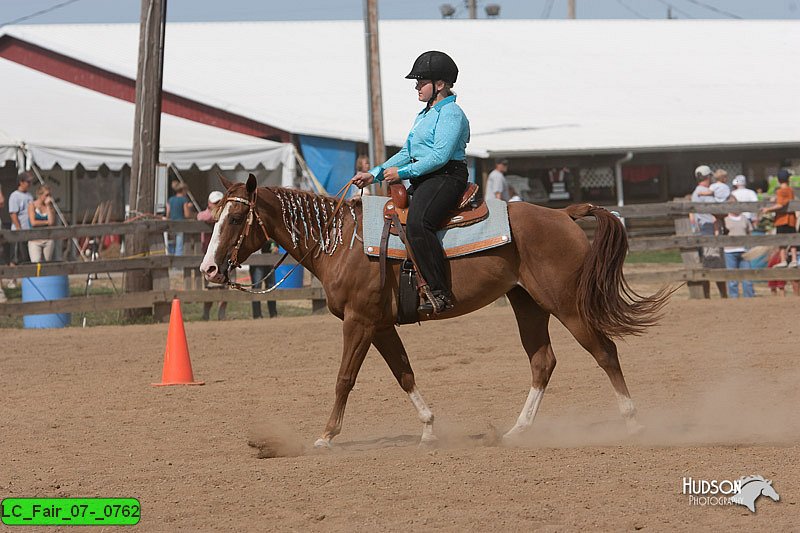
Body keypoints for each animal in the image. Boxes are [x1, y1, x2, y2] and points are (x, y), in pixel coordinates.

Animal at [200, 174, 668, 444]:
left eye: (236, 220)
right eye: (214, 216)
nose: (209, 269)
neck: (341, 242)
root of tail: (564, 214)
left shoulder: (359, 322)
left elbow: (344, 379)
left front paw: (326, 436)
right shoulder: (380, 325)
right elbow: (404, 372)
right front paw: (427, 427)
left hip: (567, 304)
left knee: (605, 352)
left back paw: (633, 423)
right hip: (528, 304)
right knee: (543, 361)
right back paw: (517, 430)